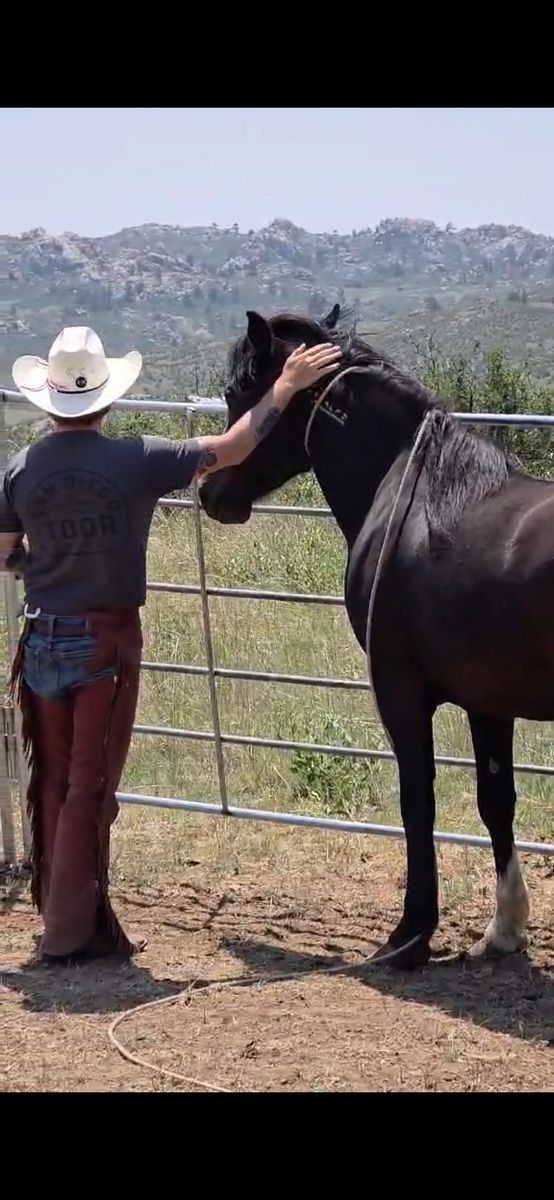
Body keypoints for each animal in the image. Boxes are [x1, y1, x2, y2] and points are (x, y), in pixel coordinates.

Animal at [199, 305, 554, 969]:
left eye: (240, 389)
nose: (210, 491)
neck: (416, 500)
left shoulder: (400, 691)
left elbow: (418, 802)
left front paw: (410, 934)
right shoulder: (488, 700)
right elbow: (497, 801)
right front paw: (504, 930)